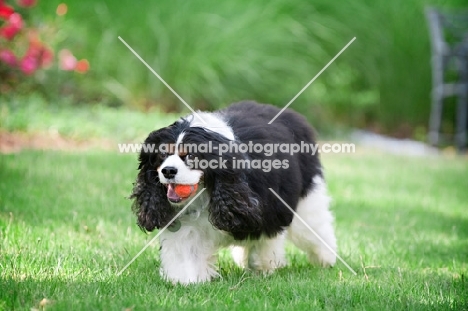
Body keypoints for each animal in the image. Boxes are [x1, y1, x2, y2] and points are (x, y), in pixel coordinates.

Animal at [130, 102, 336, 286]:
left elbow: (265, 243)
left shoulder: (269, 210)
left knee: (313, 227)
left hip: (307, 199)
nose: (168, 171)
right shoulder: (186, 225)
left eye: (191, 156)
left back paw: (327, 259)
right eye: (162, 155)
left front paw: (264, 268)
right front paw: (186, 282)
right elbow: (186, 254)